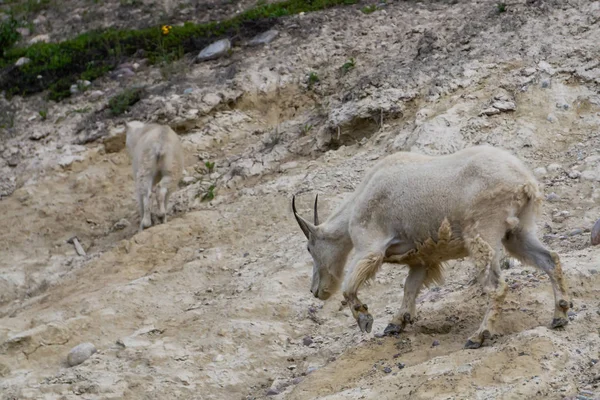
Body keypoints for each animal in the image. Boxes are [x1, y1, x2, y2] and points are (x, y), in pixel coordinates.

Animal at [292, 145, 568, 348]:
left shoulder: (370, 246)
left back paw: (478, 336)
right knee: (550, 259)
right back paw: (560, 316)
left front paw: (365, 320)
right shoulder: (422, 261)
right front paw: (396, 323)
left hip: (484, 230)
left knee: (497, 286)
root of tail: (525, 182)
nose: (316, 291)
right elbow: (410, 287)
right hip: (517, 232)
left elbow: (350, 287)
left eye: (309, 249)